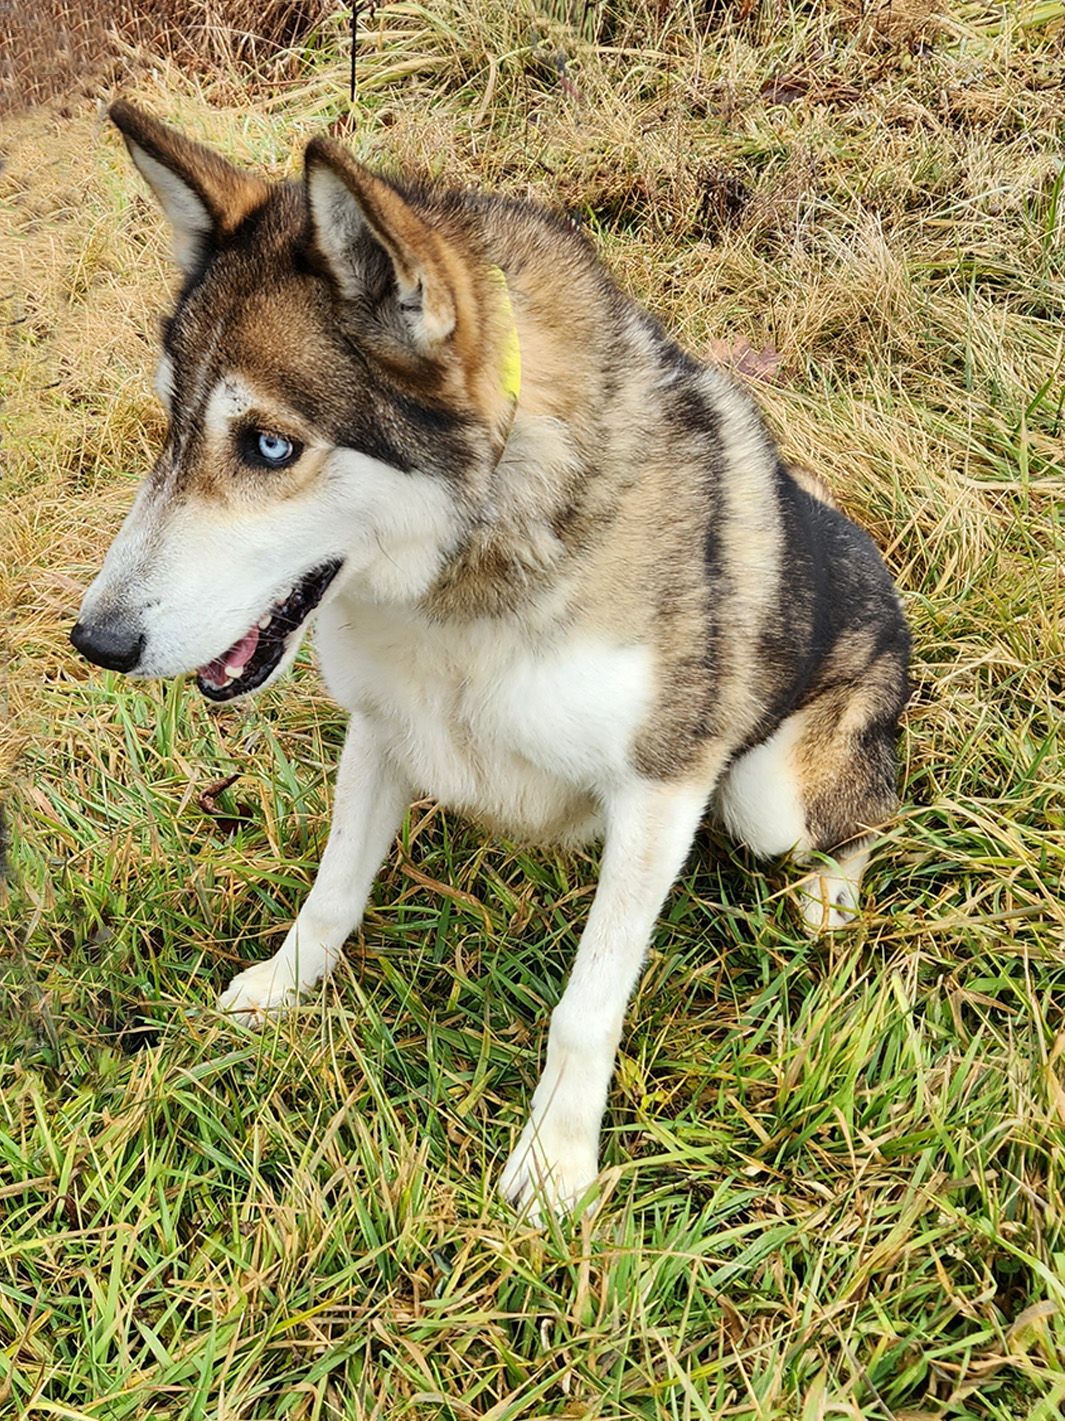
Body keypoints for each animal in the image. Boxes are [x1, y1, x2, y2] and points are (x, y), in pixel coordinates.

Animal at [72, 105, 904, 1222]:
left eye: (269, 446)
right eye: (168, 424)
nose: (97, 639)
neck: (459, 588)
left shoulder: (660, 790)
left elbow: (586, 1006)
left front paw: (555, 1162)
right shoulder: (382, 731)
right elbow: (331, 892)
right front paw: (284, 987)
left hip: (769, 793)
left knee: (870, 812)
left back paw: (828, 896)